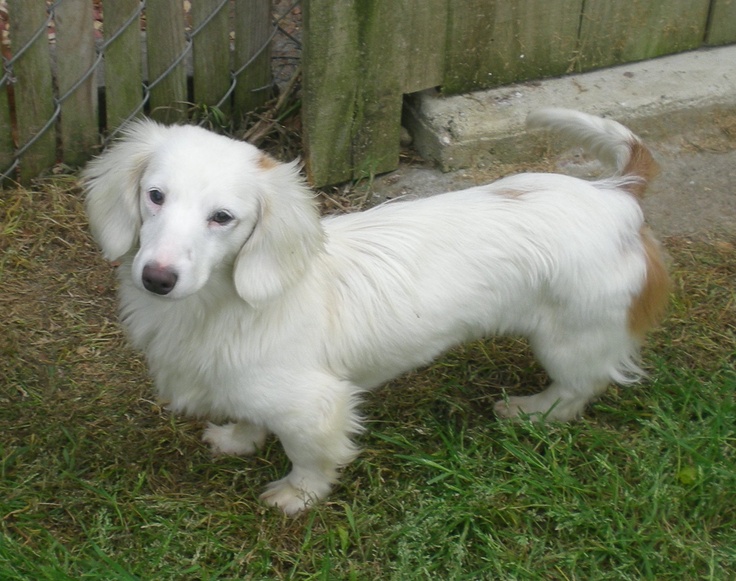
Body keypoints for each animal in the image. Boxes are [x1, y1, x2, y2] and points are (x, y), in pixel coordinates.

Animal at [83, 109, 668, 512]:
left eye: (222, 217)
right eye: (155, 196)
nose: (157, 278)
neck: (220, 308)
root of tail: (617, 196)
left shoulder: (314, 406)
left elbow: (311, 456)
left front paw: (296, 496)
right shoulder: (245, 387)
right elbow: (249, 418)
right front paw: (235, 441)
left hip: (569, 340)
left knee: (576, 391)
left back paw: (530, 412)